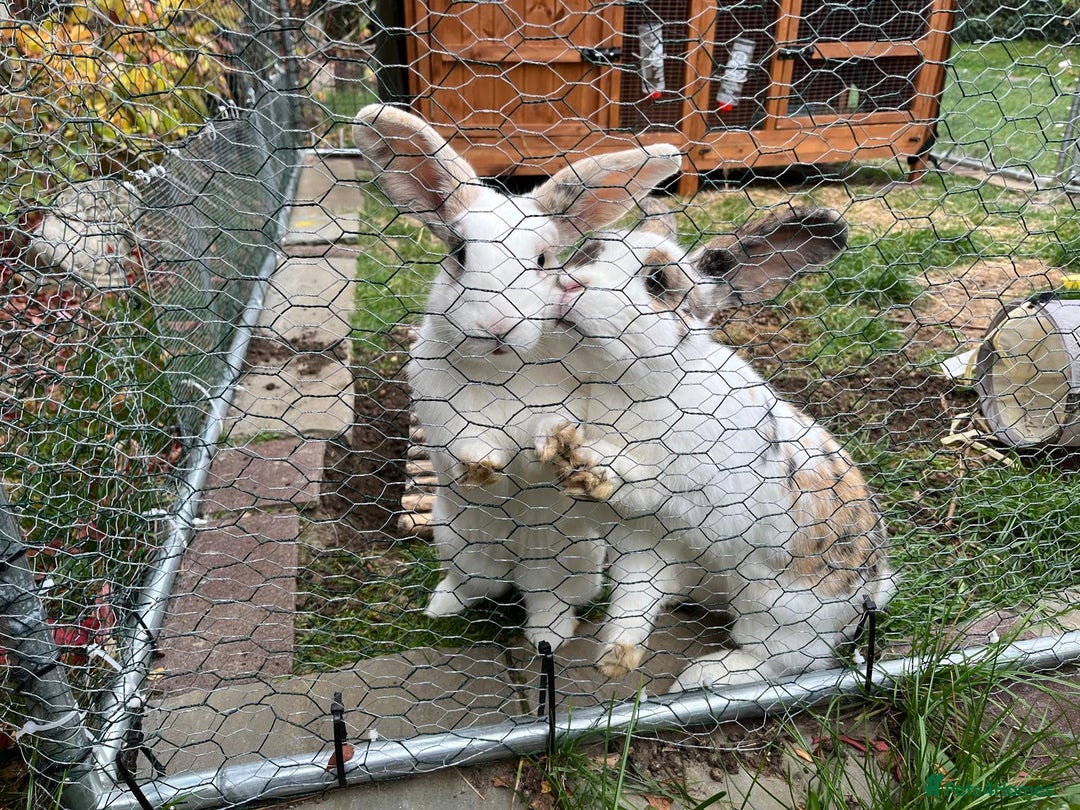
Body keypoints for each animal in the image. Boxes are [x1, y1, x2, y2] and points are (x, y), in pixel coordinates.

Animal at [351, 104, 683, 650]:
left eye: (543, 260)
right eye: (459, 253)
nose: (497, 325)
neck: (504, 367)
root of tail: (517, 565)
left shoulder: (571, 399)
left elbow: (548, 433)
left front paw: (553, 444)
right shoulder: (439, 406)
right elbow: (465, 442)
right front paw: (483, 467)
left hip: (571, 564)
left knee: (548, 600)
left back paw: (549, 636)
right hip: (460, 547)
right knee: (474, 585)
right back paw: (441, 606)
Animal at [530, 204, 897, 691]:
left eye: (657, 281)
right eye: (589, 251)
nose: (570, 284)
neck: (617, 384)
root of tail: (871, 592)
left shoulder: (698, 497)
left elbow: (651, 481)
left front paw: (594, 460)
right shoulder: (643, 541)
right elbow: (632, 600)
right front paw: (614, 657)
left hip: (774, 611)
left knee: (789, 664)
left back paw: (702, 676)